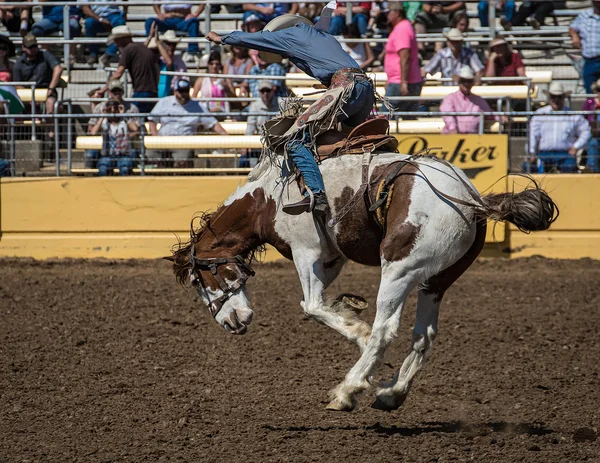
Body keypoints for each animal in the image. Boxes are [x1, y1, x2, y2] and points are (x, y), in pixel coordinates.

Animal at [168, 132, 556, 412]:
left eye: (200, 280)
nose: (230, 323)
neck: (268, 199)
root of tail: (474, 201)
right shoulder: (331, 257)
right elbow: (325, 304)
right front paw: (350, 317)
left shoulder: (306, 250)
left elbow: (312, 305)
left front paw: (358, 332)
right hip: (436, 280)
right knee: (423, 335)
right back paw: (390, 394)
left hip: (399, 267)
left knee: (387, 329)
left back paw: (347, 390)